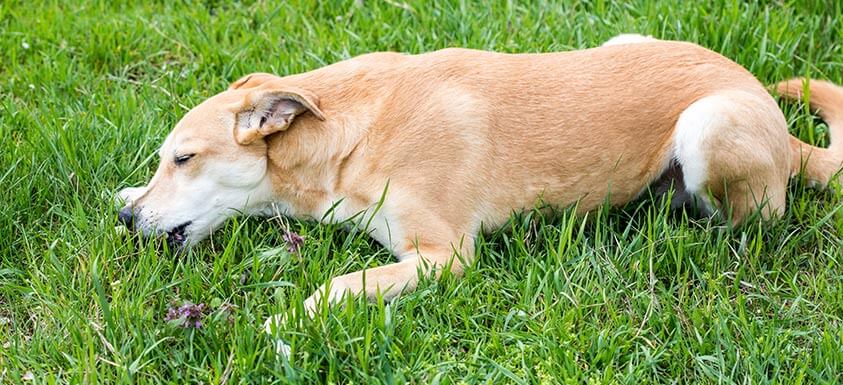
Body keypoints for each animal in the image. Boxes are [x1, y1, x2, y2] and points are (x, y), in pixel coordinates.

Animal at [117, 33, 843, 338]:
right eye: (165, 160)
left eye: (183, 158)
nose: (128, 225)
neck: (343, 134)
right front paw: (126, 196)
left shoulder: (443, 257)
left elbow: (337, 285)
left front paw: (281, 321)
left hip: (705, 126)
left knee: (745, 224)